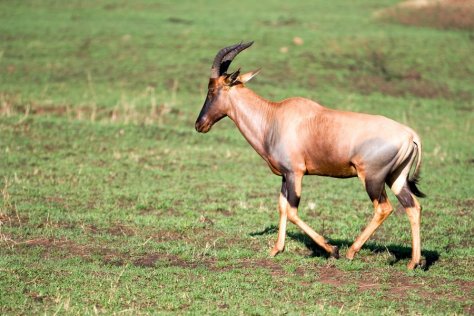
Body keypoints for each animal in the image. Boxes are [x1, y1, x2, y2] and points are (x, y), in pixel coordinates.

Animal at [194, 41, 424, 270]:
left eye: (212, 89)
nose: (199, 125)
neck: (273, 117)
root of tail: (410, 134)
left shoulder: (296, 173)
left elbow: (292, 211)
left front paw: (332, 249)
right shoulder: (285, 175)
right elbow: (282, 207)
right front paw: (276, 249)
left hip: (373, 179)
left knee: (384, 208)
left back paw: (351, 252)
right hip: (396, 178)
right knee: (413, 207)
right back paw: (413, 262)